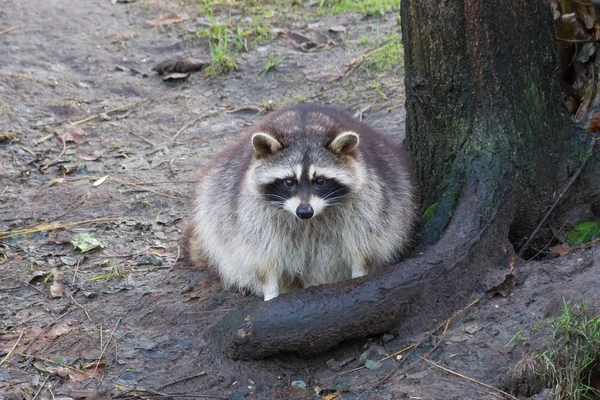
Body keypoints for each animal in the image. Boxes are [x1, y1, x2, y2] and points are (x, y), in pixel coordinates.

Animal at [184, 103, 418, 300]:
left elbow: (362, 248)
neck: (305, 131)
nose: (304, 211)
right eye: (289, 182)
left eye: (320, 181)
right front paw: (270, 292)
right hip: (217, 192)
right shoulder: (252, 213)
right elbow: (263, 257)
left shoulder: (369, 204)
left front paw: (360, 277)